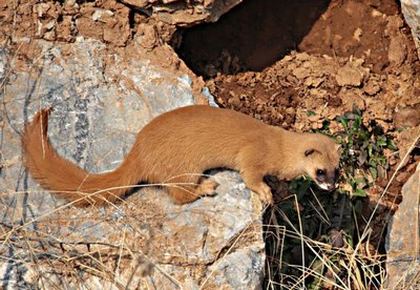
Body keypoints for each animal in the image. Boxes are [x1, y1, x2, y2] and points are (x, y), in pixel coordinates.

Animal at [21, 105, 342, 206]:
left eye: (337, 169)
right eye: (320, 171)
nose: (331, 186)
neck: (278, 145)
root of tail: (138, 151)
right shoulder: (252, 154)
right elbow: (250, 175)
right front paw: (266, 192)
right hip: (185, 167)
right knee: (178, 194)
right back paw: (207, 187)